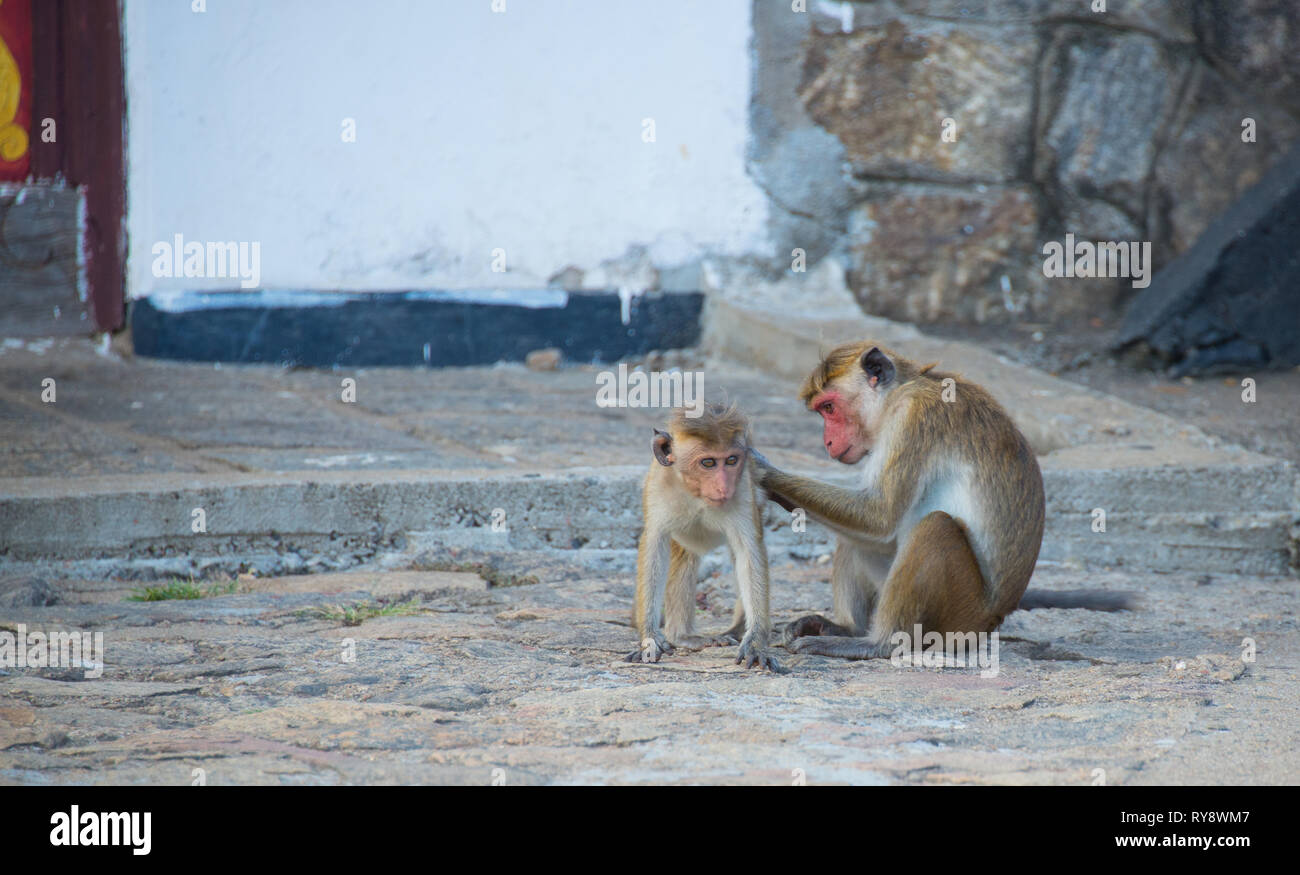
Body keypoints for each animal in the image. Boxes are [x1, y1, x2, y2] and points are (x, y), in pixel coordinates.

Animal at [625, 402, 784, 672]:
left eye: (731, 460)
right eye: (708, 462)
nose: (723, 487)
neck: (696, 492)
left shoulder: (743, 489)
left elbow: (748, 553)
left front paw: (755, 643)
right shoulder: (659, 485)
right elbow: (655, 546)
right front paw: (649, 639)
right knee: (683, 557)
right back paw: (682, 636)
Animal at [748, 341, 1116, 661]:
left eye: (829, 407)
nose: (826, 441)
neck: (900, 392)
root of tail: (995, 617)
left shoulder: (914, 416)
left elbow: (879, 516)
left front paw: (761, 470)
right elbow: (872, 524)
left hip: (962, 615)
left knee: (935, 527)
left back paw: (878, 643)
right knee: (855, 537)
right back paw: (847, 629)